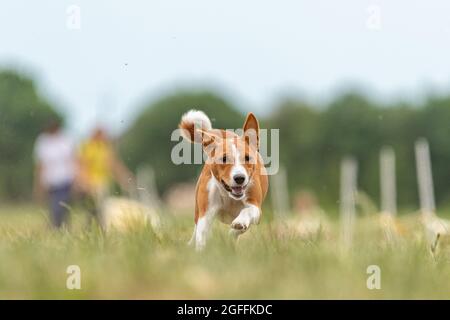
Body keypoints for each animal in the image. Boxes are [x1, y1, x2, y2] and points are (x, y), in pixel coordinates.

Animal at [178, 110, 268, 250]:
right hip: (198, 211)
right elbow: (201, 234)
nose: (239, 178)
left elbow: (246, 213)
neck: (230, 196)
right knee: (196, 229)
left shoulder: (256, 207)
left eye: (247, 158)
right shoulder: (206, 213)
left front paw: (238, 223)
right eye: (224, 159)